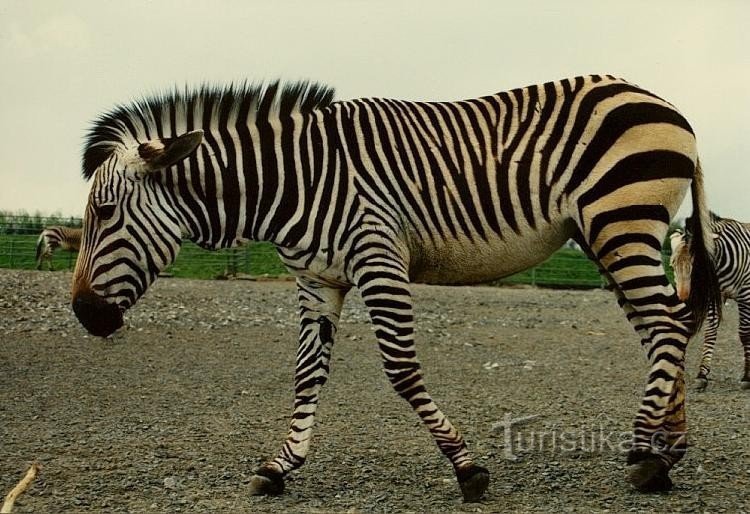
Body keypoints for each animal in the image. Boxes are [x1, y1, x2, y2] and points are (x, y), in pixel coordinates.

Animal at [72, 74, 724, 498]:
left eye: (103, 213)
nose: (82, 315)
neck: (294, 180)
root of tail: (667, 105)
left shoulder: (377, 256)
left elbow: (402, 369)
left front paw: (466, 468)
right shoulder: (318, 279)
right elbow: (307, 374)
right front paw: (281, 466)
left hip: (622, 221)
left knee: (668, 326)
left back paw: (644, 454)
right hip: (603, 235)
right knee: (660, 330)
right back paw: (668, 452)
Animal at [668, 214, 750, 390]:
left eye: (698, 266)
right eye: (672, 265)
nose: (684, 297)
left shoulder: (745, 295)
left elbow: (744, 333)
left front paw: (747, 376)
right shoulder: (714, 296)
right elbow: (710, 332)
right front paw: (702, 375)